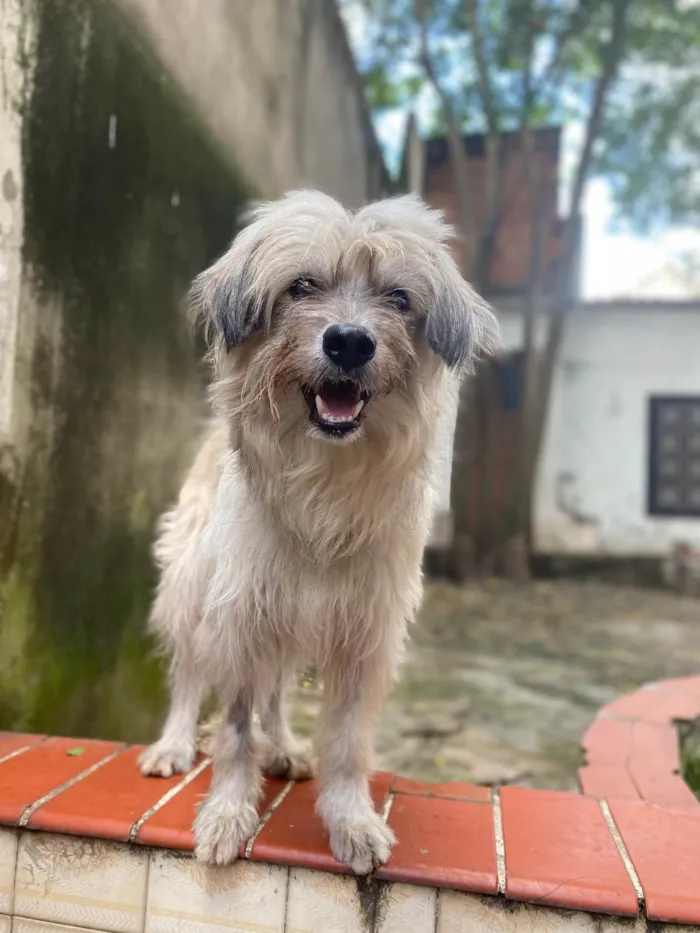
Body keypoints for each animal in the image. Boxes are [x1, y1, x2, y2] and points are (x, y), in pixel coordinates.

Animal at [138, 189, 498, 872]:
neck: (324, 483)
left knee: (276, 694)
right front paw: (228, 812)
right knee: (191, 675)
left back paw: (282, 746)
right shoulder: (241, 614)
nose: (350, 343)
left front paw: (350, 819)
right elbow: (234, 729)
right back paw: (172, 743)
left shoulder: (364, 634)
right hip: (193, 587)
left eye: (398, 298)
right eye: (302, 286)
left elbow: (347, 742)